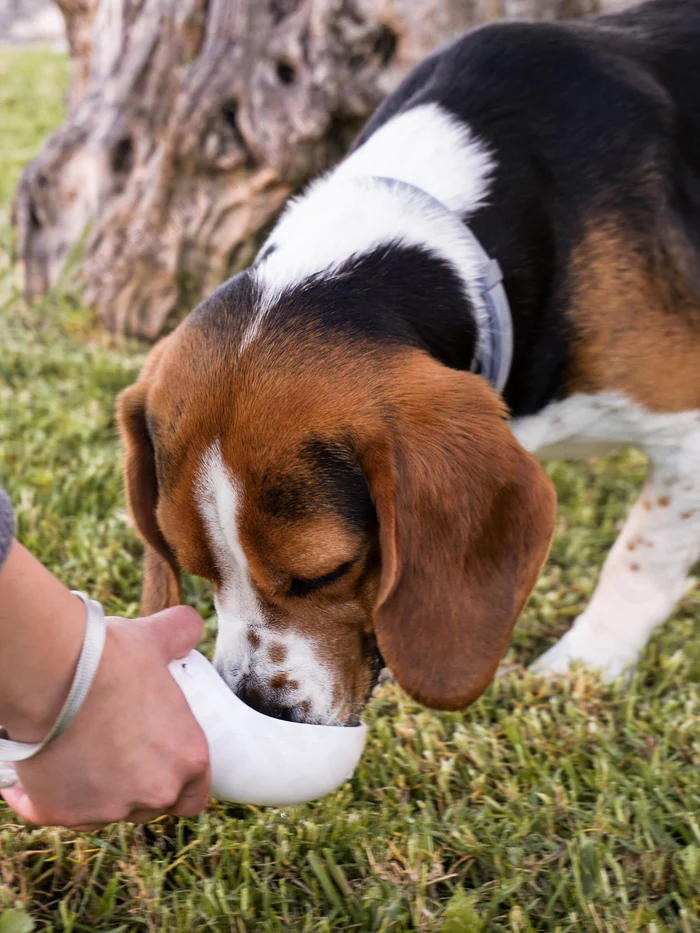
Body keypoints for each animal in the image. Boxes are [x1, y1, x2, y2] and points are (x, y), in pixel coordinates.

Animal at [117, 0, 700, 724]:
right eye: (196, 568)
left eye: (327, 571)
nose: (257, 708)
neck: (461, 237)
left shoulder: (687, 429)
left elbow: (641, 554)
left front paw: (587, 663)